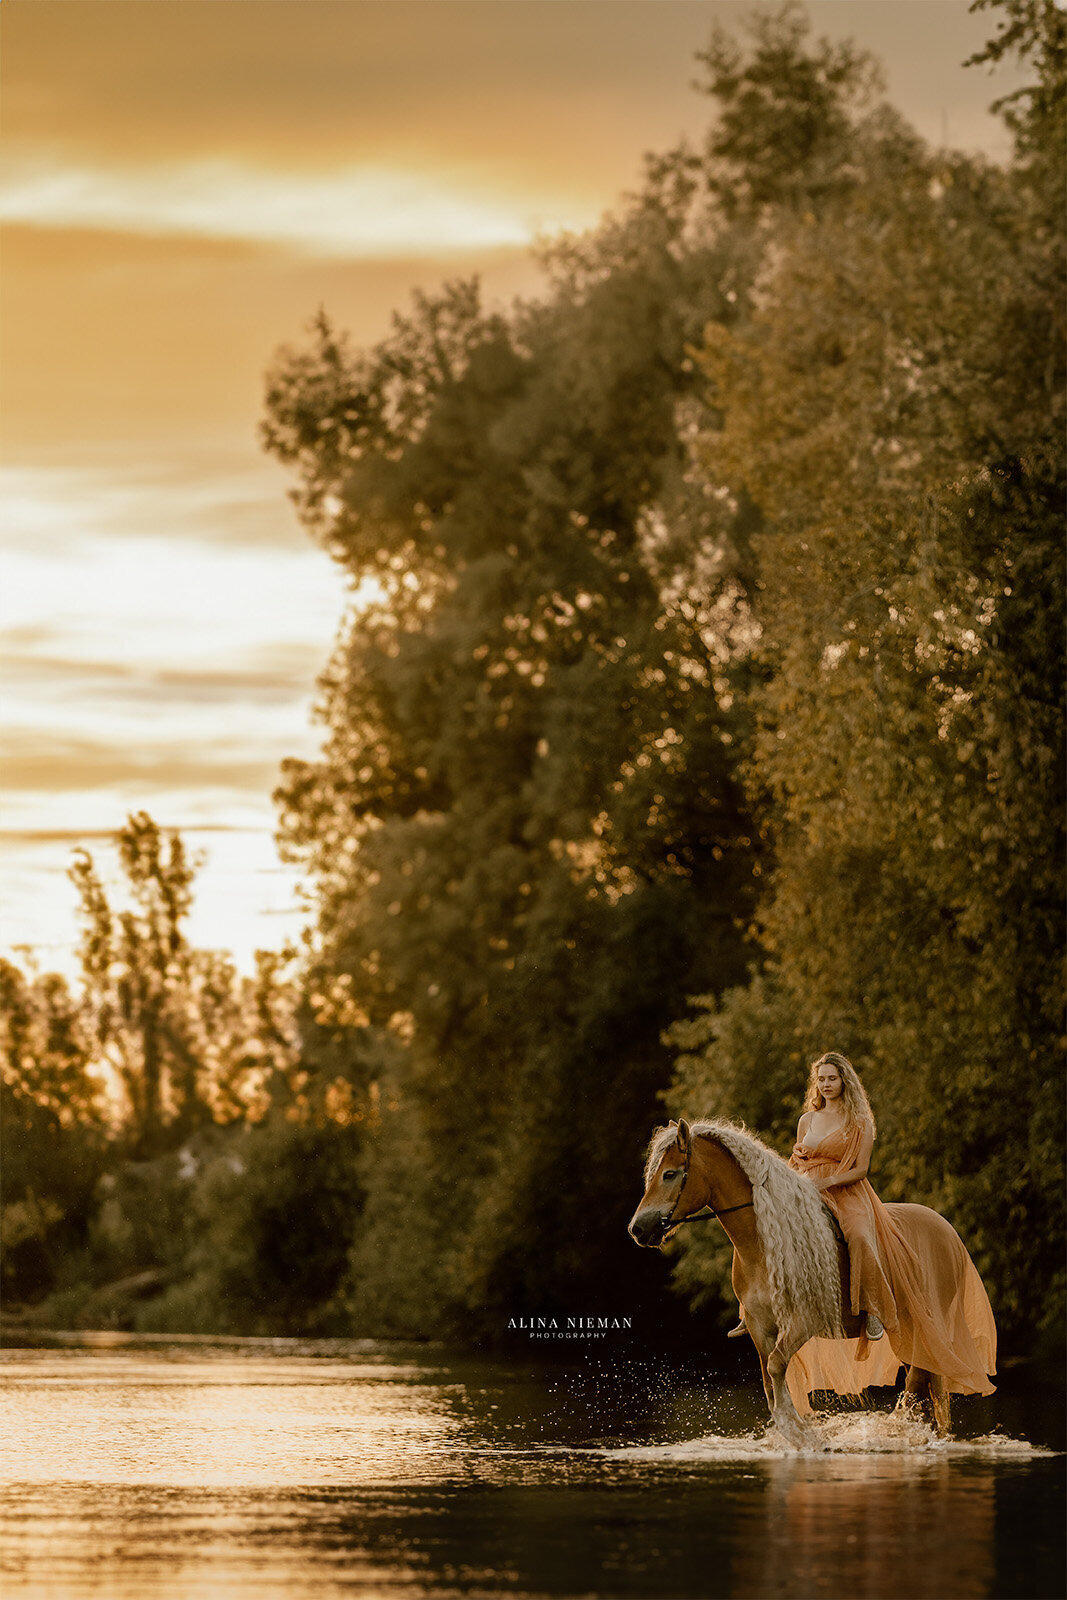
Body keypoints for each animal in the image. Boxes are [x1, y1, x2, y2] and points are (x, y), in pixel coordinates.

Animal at [630, 1120, 998, 1446]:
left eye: (669, 1174)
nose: (637, 1228)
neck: (762, 1244)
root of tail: (947, 1231)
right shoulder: (760, 1327)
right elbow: (769, 1381)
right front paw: (793, 1431)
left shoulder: (802, 1322)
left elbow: (777, 1367)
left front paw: (800, 1433)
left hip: (919, 1328)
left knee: (916, 1382)